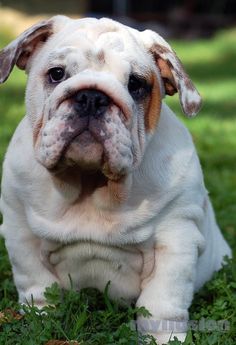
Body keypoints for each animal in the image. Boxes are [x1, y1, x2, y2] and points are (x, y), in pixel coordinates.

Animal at [0, 15, 232, 342]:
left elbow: (161, 301)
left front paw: (164, 338)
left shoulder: (177, 238)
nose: (91, 97)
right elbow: (36, 283)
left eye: (136, 85)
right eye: (56, 74)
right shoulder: (20, 230)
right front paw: (39, 320)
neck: (90, 185)